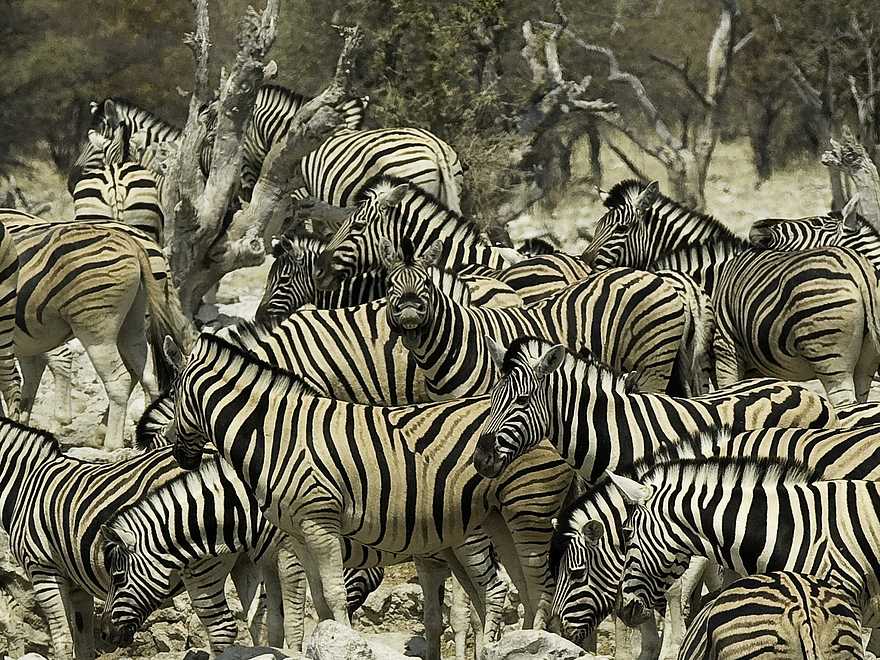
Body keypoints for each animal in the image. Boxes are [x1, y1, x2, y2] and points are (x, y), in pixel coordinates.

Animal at [166, 331, 574, 657]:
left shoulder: (320, 523)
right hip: (497, 519)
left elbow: (333, 595)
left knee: (532, 585)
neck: (276, 435)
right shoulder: (297, 534)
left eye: (173, 395)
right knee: (521, 587)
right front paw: (328, 641)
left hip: (527, 510)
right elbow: (319, 600)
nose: (179, 456)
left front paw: (344, 643)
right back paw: (520, 645)